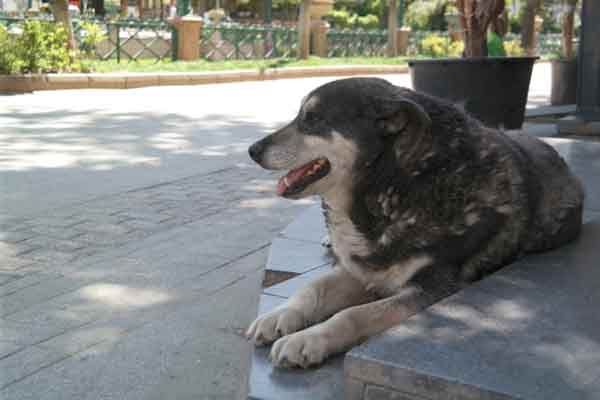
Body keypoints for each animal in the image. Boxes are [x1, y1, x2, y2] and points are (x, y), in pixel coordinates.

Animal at [244, 77, 580, 368]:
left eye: (312, 118)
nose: (252, 150)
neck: (398, 181)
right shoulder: (362, 270)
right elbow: (313, 288)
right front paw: (281, 315)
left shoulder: (431, 289)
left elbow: (353, 315)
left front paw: (309, 339)